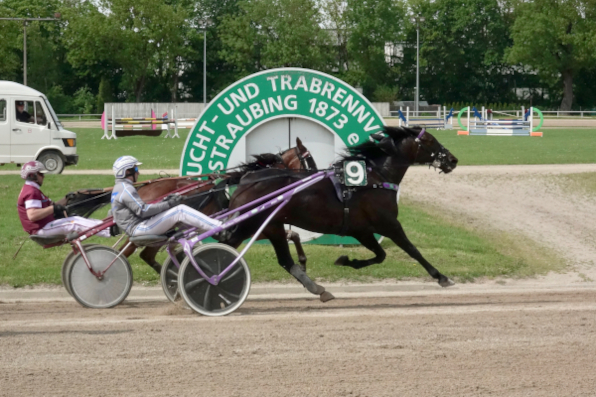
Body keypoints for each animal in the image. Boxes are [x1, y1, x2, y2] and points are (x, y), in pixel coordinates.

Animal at [225, 127, 460, 300]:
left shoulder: (361, 230)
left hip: (271, 226)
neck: (375, 179)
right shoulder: (389, 224)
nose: (453, 160)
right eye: (429, 140)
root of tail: (246, 180)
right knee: (227, 245)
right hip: (250, 225)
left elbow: (381, 255)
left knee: (283, 259)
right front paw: (442, 277)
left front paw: (347, 260)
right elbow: (412, 250)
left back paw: (318, 289)